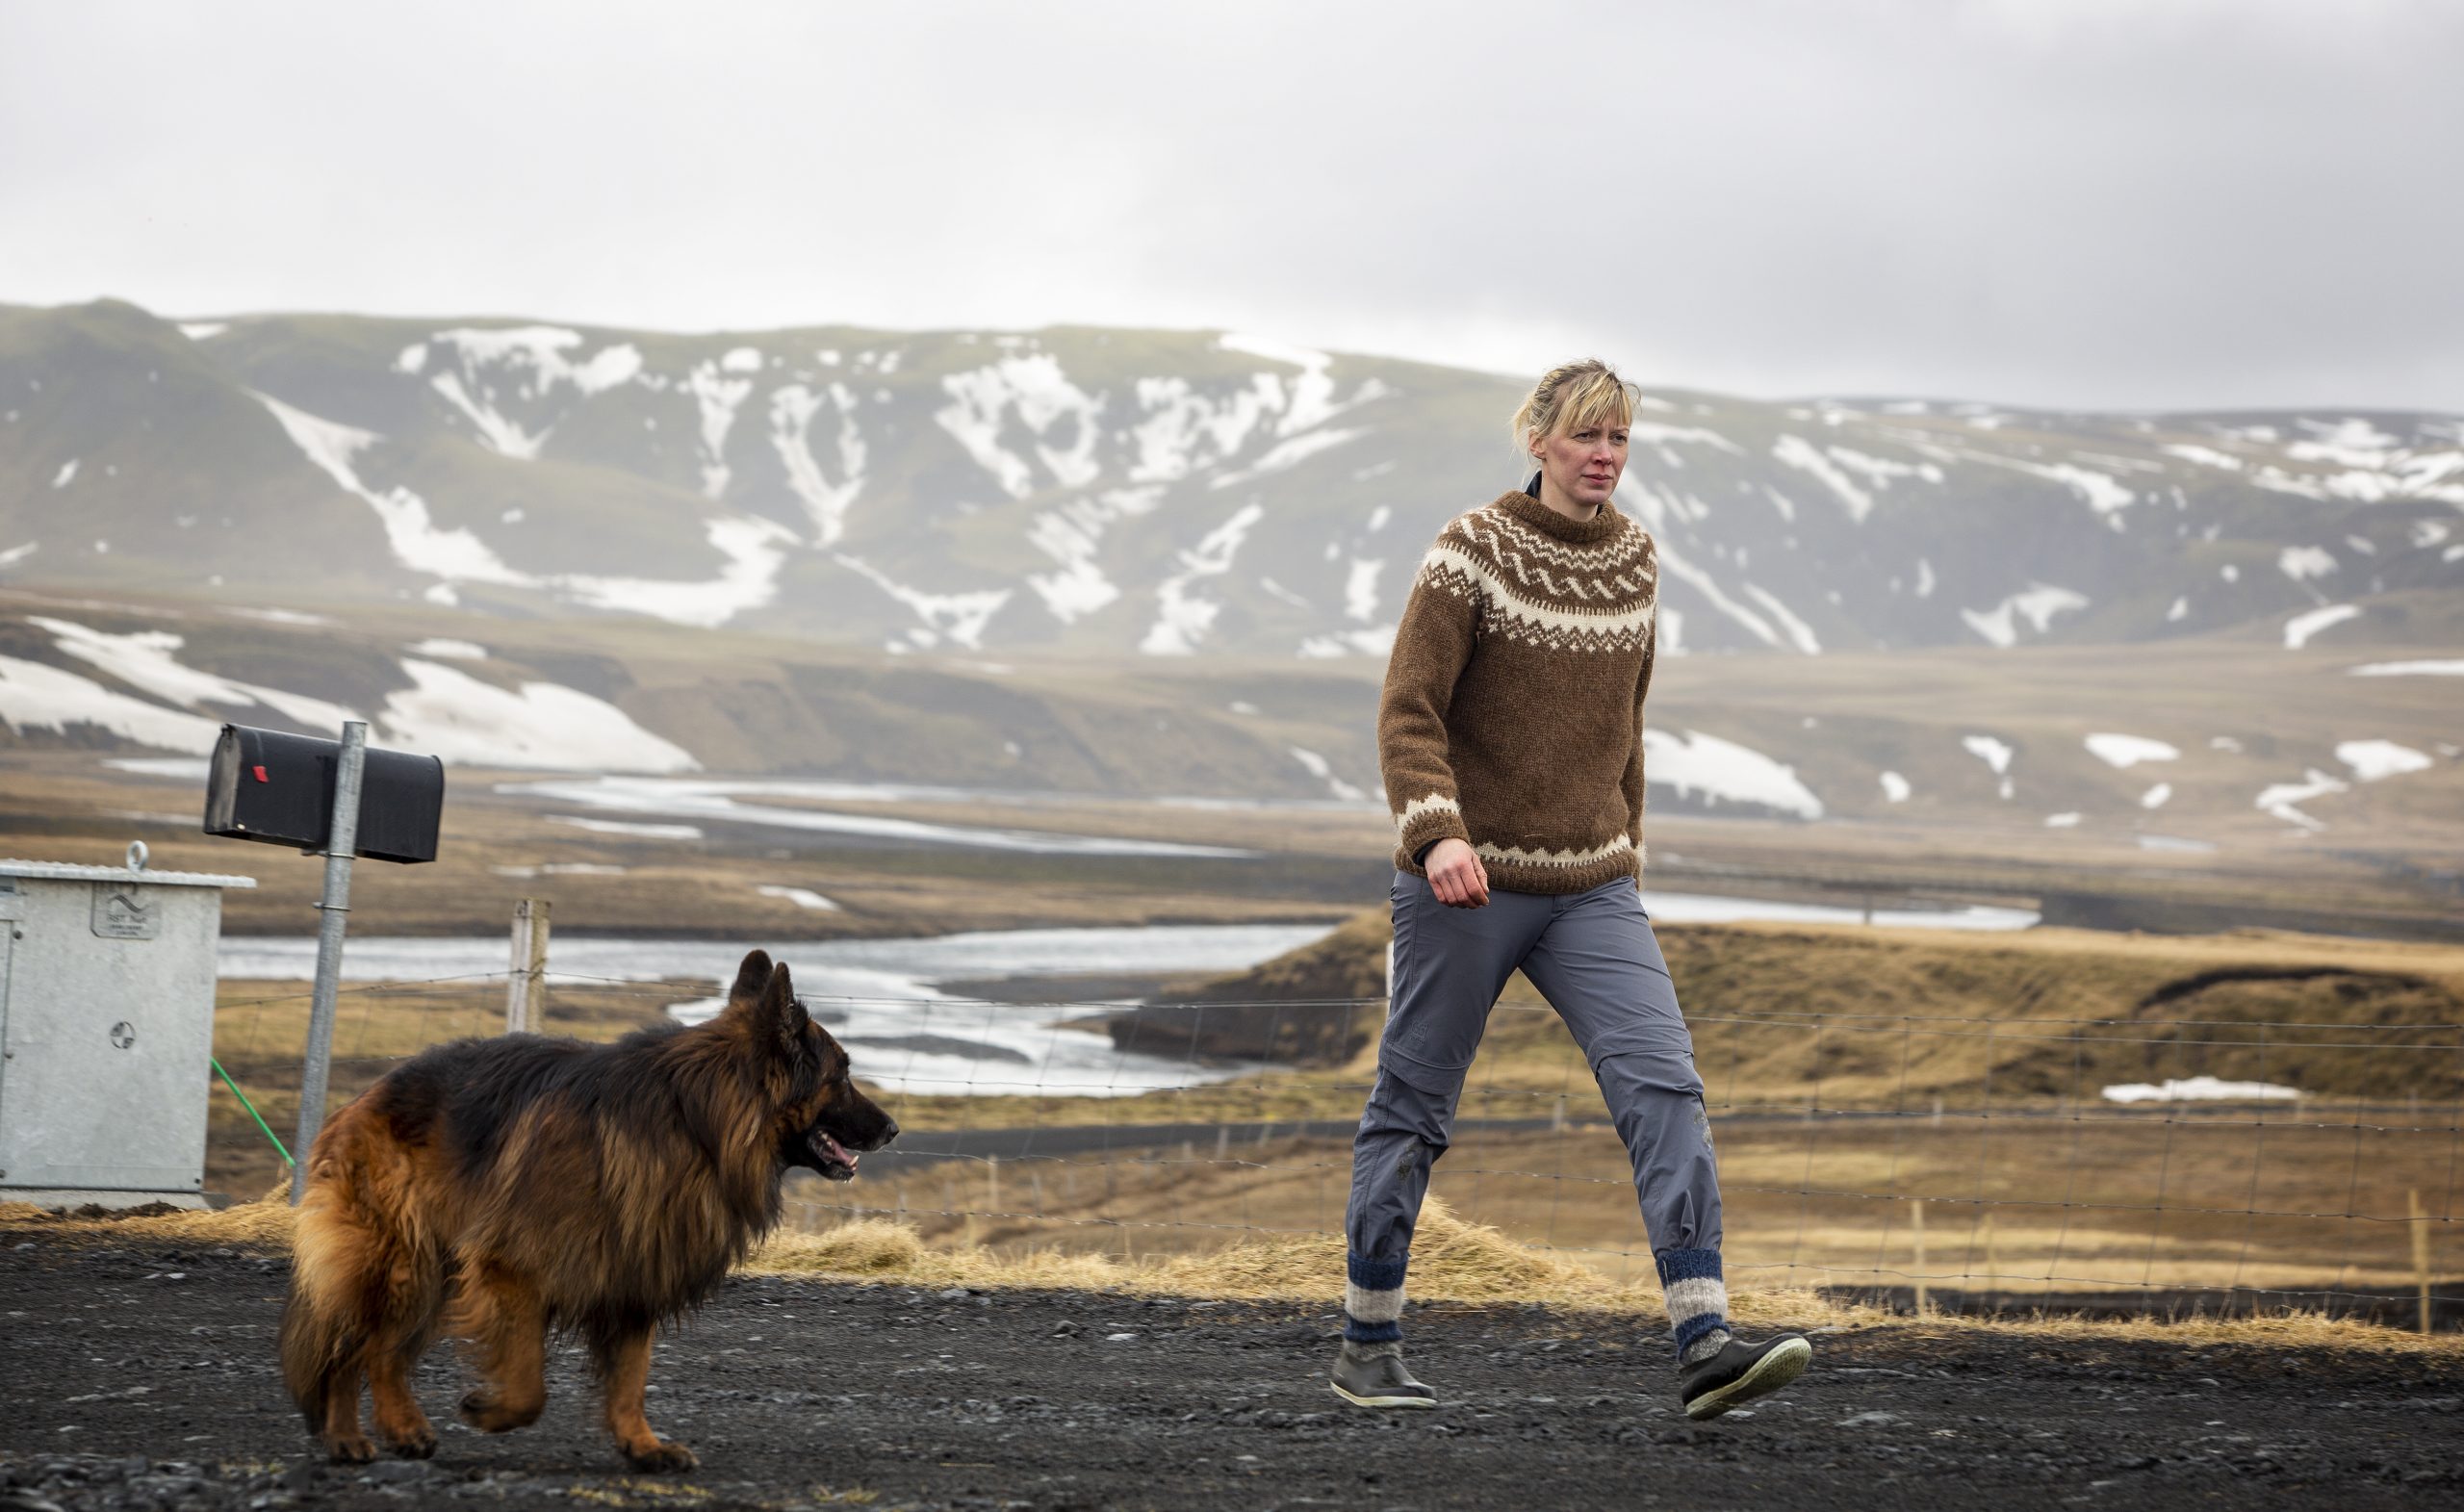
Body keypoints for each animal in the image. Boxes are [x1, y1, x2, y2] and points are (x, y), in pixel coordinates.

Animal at [279, 955, 896, 1477]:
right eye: (842, 1075)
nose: (892, 1129)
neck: (696, 1126)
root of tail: (361, 1101)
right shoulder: (512, 1271)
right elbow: (529, 1386)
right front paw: (488, 1410)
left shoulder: (636, 1271)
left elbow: (630, 1381)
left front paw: (642, 1446)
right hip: (407, 1266)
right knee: (369, 1350)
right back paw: (389, 1430)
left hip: (435, 1276)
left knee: (358, 1351)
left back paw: (353, 1436)